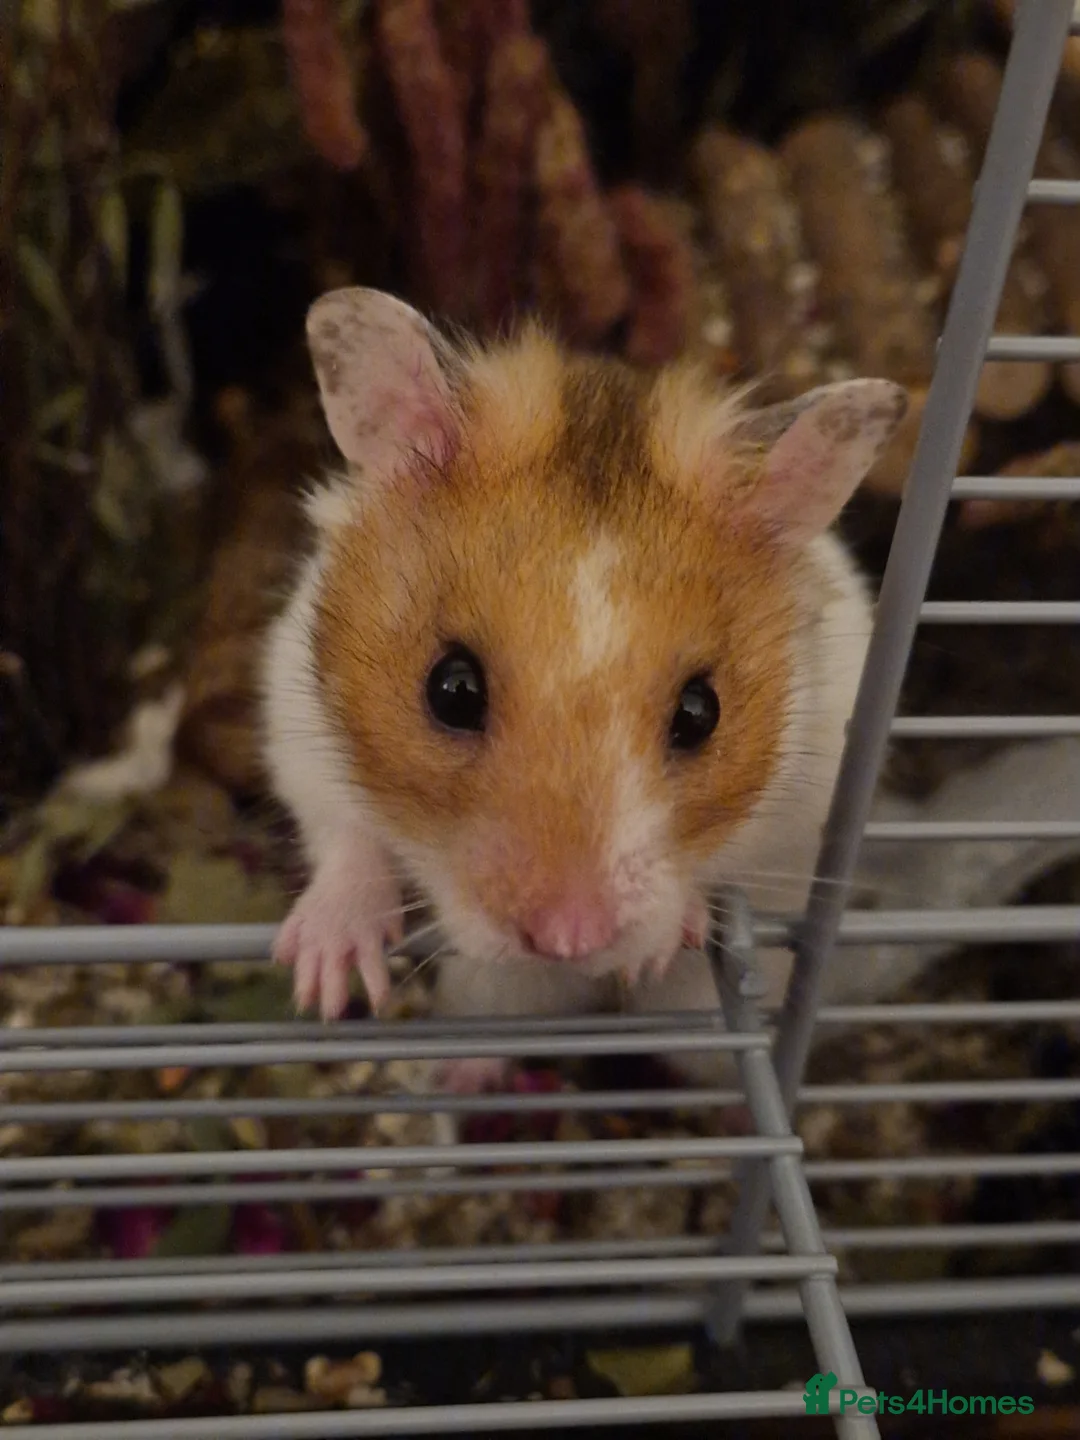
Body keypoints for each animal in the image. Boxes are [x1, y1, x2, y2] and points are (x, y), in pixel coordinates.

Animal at [261, 286, 907, 1088]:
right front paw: (323, 983)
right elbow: (345, 836)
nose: (569, 939)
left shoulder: (809, 791)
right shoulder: (296, 716)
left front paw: (665, 942)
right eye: (451, 690)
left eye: (701, 712)